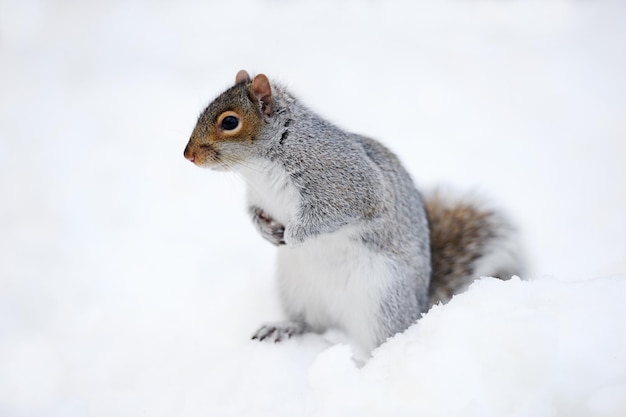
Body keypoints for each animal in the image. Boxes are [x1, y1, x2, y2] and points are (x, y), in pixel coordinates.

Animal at [183, 70, 524, 356]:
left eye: (230, 122)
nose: (187, 155)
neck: (258, 167)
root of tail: (419, 309)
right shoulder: (258, 197)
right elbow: (253, 212)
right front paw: (265, 230)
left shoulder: (347, 182)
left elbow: (334, 212)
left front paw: (294, 235)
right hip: (296, 290)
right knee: (310, 323)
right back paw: (285, 328)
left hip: (381, 300)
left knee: (383, 341)